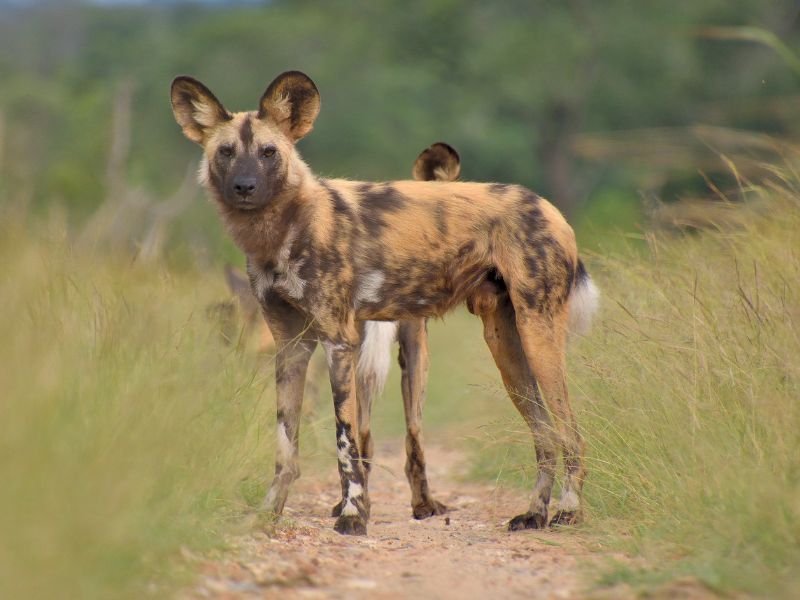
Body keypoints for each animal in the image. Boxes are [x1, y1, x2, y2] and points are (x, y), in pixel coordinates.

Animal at [173, 72, 600, 536]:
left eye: (269, 153)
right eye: (226, 152)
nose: (245, 188)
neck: (283, 231)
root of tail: (548, 206)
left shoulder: (339, 342)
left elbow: (346, 443)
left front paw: (352, 515)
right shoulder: (290, 347)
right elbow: (286, 447)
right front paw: (269, 512)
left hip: (536, 337)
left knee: (570, 433)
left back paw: (568, 511)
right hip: (506, 347)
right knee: (545, 435)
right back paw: (534, 513)